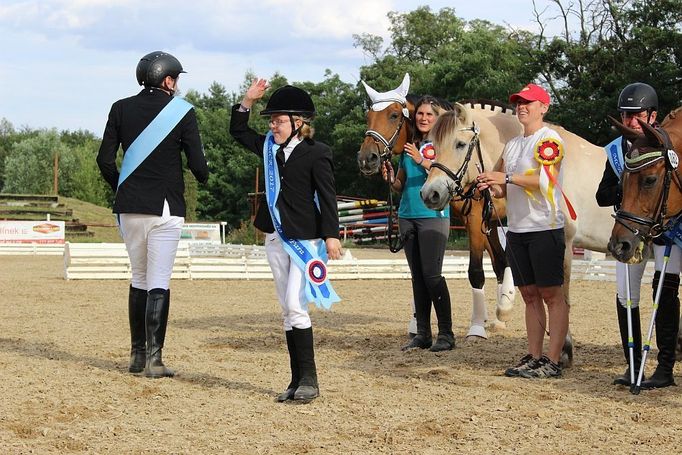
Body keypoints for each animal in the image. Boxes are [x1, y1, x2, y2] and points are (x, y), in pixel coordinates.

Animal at [358, 74, 512, 342]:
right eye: (369, 116)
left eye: (394, 115)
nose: (367, 159)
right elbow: (423, 271)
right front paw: (415, 323)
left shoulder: (473, 219)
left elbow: (475, 271)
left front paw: (476, 329)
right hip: (492, 222)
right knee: (501, 262)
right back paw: (498, 319)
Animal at [422, 102, 612, 366]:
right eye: (433, 147)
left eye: (459, 144)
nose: (430, 194)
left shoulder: (562, 247)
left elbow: (561, 299)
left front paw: (564, 351)